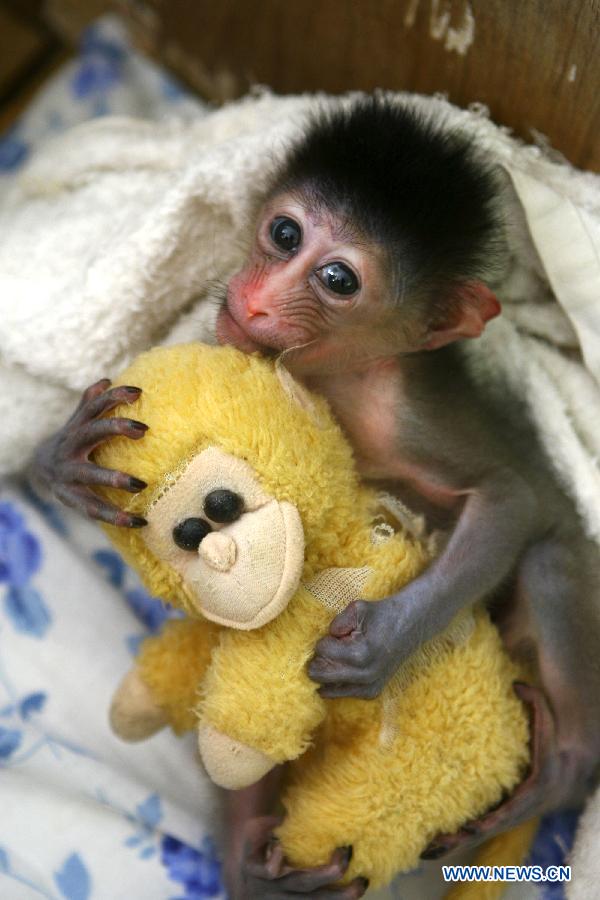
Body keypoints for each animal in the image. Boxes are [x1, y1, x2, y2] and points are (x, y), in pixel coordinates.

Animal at [31, 95, 600, 896]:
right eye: (284, 233)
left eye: (337, 278)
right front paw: (62, 460)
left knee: (549, 559)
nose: (256, 298)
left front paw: (385, 641)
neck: (336, 377)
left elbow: (511, 499)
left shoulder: (406, 415)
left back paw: (564, 771)